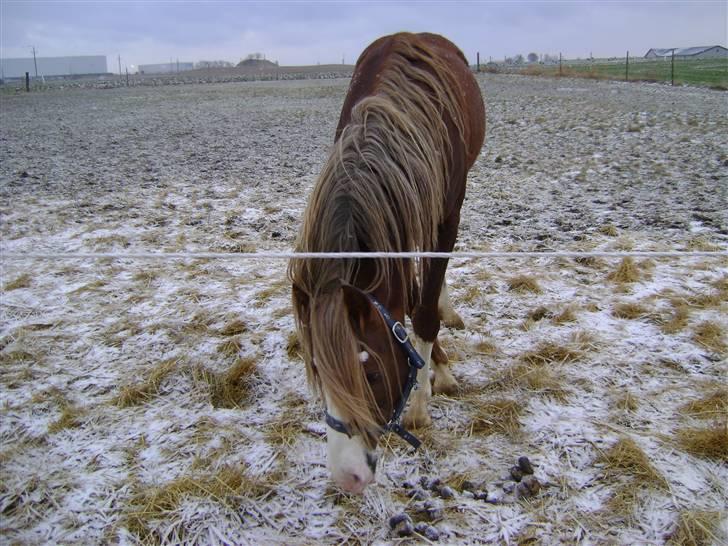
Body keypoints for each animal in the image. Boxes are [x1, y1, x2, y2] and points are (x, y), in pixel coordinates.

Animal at [288, 33, 484, 492]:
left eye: (372, 375)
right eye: (318, 372)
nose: (348, 476)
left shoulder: (443, 215)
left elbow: (424, 309)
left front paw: (424, 399)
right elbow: (408, 300)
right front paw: (436, 365)